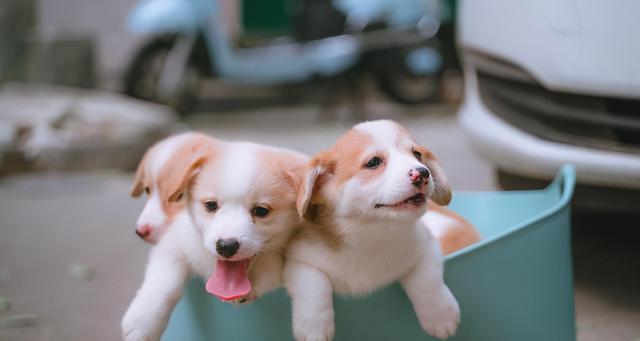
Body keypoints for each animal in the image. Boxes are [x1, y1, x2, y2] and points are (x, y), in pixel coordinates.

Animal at [123, 139, 310, 340]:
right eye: (211, 205)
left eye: (261, 210)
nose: (226, 246)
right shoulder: (174, 246)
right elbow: (164, 283)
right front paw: (142, 324)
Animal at [284, 119, 460, 340]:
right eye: (374, 162)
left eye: (417, 154)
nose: (422, 173)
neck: (373, 235)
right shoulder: (299, 261)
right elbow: (314, 286)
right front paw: (313, 327)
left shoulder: (427, 245)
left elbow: (428, 280)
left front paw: (440, 314)